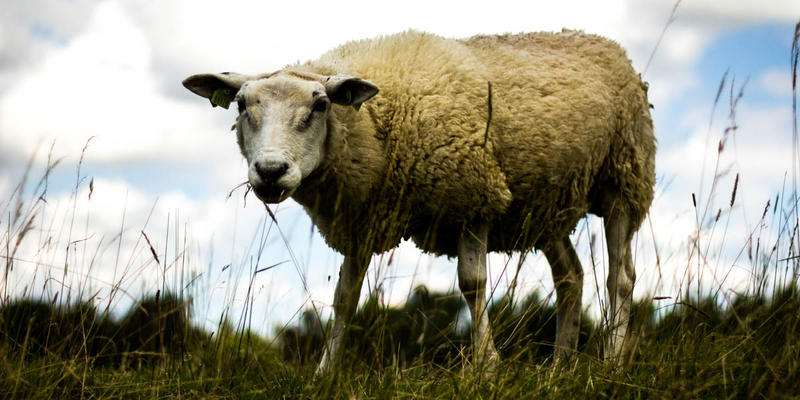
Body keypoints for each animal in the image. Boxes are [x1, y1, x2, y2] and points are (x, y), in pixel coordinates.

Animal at [183, 29, 656, 372]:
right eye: (241, 104)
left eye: (319, 106)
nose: (270, 171)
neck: (377, 122)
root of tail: (601, 41)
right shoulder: (362, 219)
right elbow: (344, 298)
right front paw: (324, 373)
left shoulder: (474, 197)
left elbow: (472, 284)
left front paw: (486, 368)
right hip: (545, 205)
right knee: (571, 276)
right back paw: (560, 367)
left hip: (623, 178)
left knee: (620, 277)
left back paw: (612, 362)